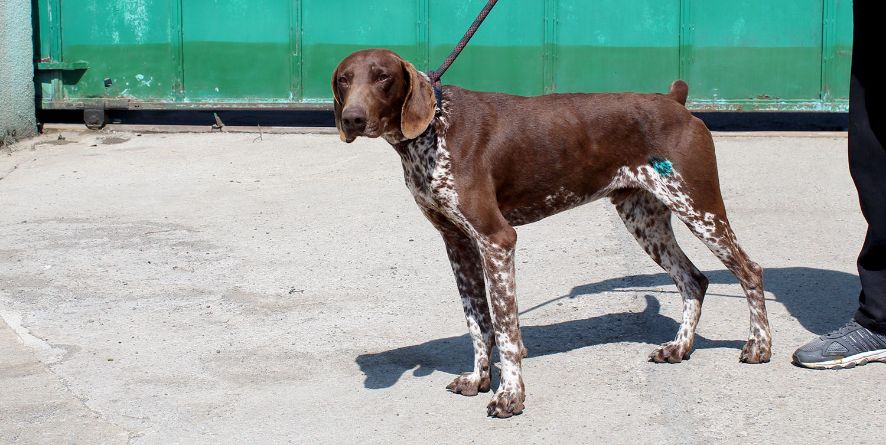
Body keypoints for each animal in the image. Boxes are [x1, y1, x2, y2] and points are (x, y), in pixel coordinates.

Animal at [332, 50, 772, 418]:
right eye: (343, 80)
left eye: (383, 77)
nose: (352, 119)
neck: (434, 128)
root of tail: (675, 101)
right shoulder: (458, 244)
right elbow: (478, 322)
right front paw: (478, 379)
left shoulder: (496, 239)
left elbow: (506, 329)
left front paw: (510, 396)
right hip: (645, 218)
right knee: (693, 280)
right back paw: (680, 347)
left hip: (700, 208)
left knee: (749, 271)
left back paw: (759, 346)